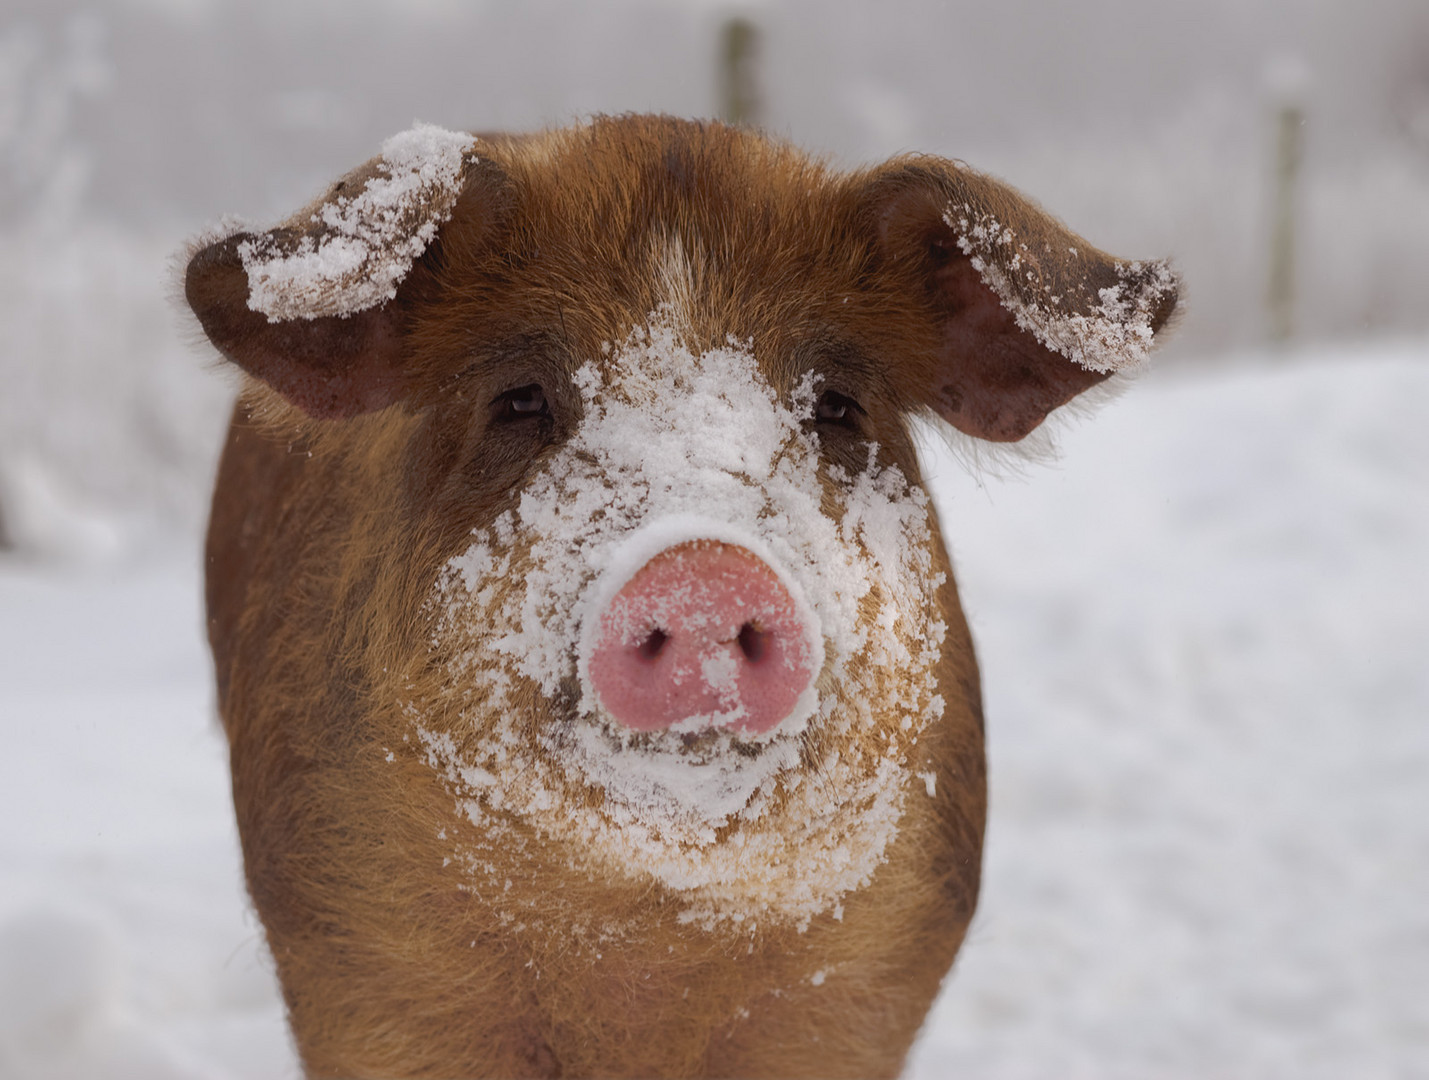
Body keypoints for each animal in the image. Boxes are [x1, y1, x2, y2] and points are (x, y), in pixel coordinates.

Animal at [184, 113, 1177, 1074]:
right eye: (519, 399)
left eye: (836, 406)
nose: (703, 566)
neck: (643, 955)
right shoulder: (355, 965)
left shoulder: (861, 987)